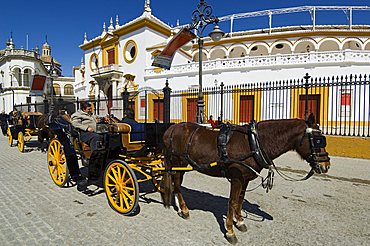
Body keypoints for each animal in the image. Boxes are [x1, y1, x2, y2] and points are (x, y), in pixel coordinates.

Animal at [161, 114, 330, 245]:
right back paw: (184, 209)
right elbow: (232, 202)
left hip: (181, 165)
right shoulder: (236, 177)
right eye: (318, 140)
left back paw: (178, 205)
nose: (326, 165)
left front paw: (240, 221)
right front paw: (230, 231)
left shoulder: (245, 178)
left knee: (176, 184)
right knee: (177, 184)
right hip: (177, 161)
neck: (254, 143)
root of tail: (171, 129)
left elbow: (240, 200)